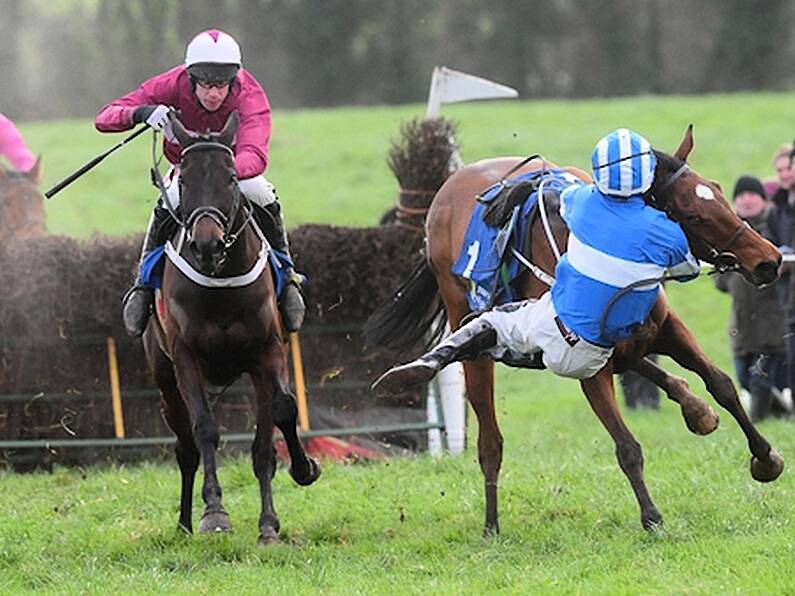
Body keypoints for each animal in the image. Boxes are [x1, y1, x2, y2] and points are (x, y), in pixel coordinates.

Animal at [143, 112, 320, 544]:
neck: (220, 283)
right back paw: (185, 523)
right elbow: (205, 430)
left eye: (230, 177)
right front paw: (214, 513)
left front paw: (274, 517)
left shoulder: (266, 352)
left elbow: (280, 417)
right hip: (165, 379)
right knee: (186, 449)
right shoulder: (186, 357)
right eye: (185, 180)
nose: (207, 245)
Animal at [366, 125, 784, 536]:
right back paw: (490, 526)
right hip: (464, 318)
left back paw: (696, 409)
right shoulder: (584, 358)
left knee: (643, 363)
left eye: (717, 190)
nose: (768, 260)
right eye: (693, 216)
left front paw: (766, 457)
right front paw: (652, 517)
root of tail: (450, 187)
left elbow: (722, 385)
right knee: (489, 437)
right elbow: (626, 446)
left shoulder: (665, 327)